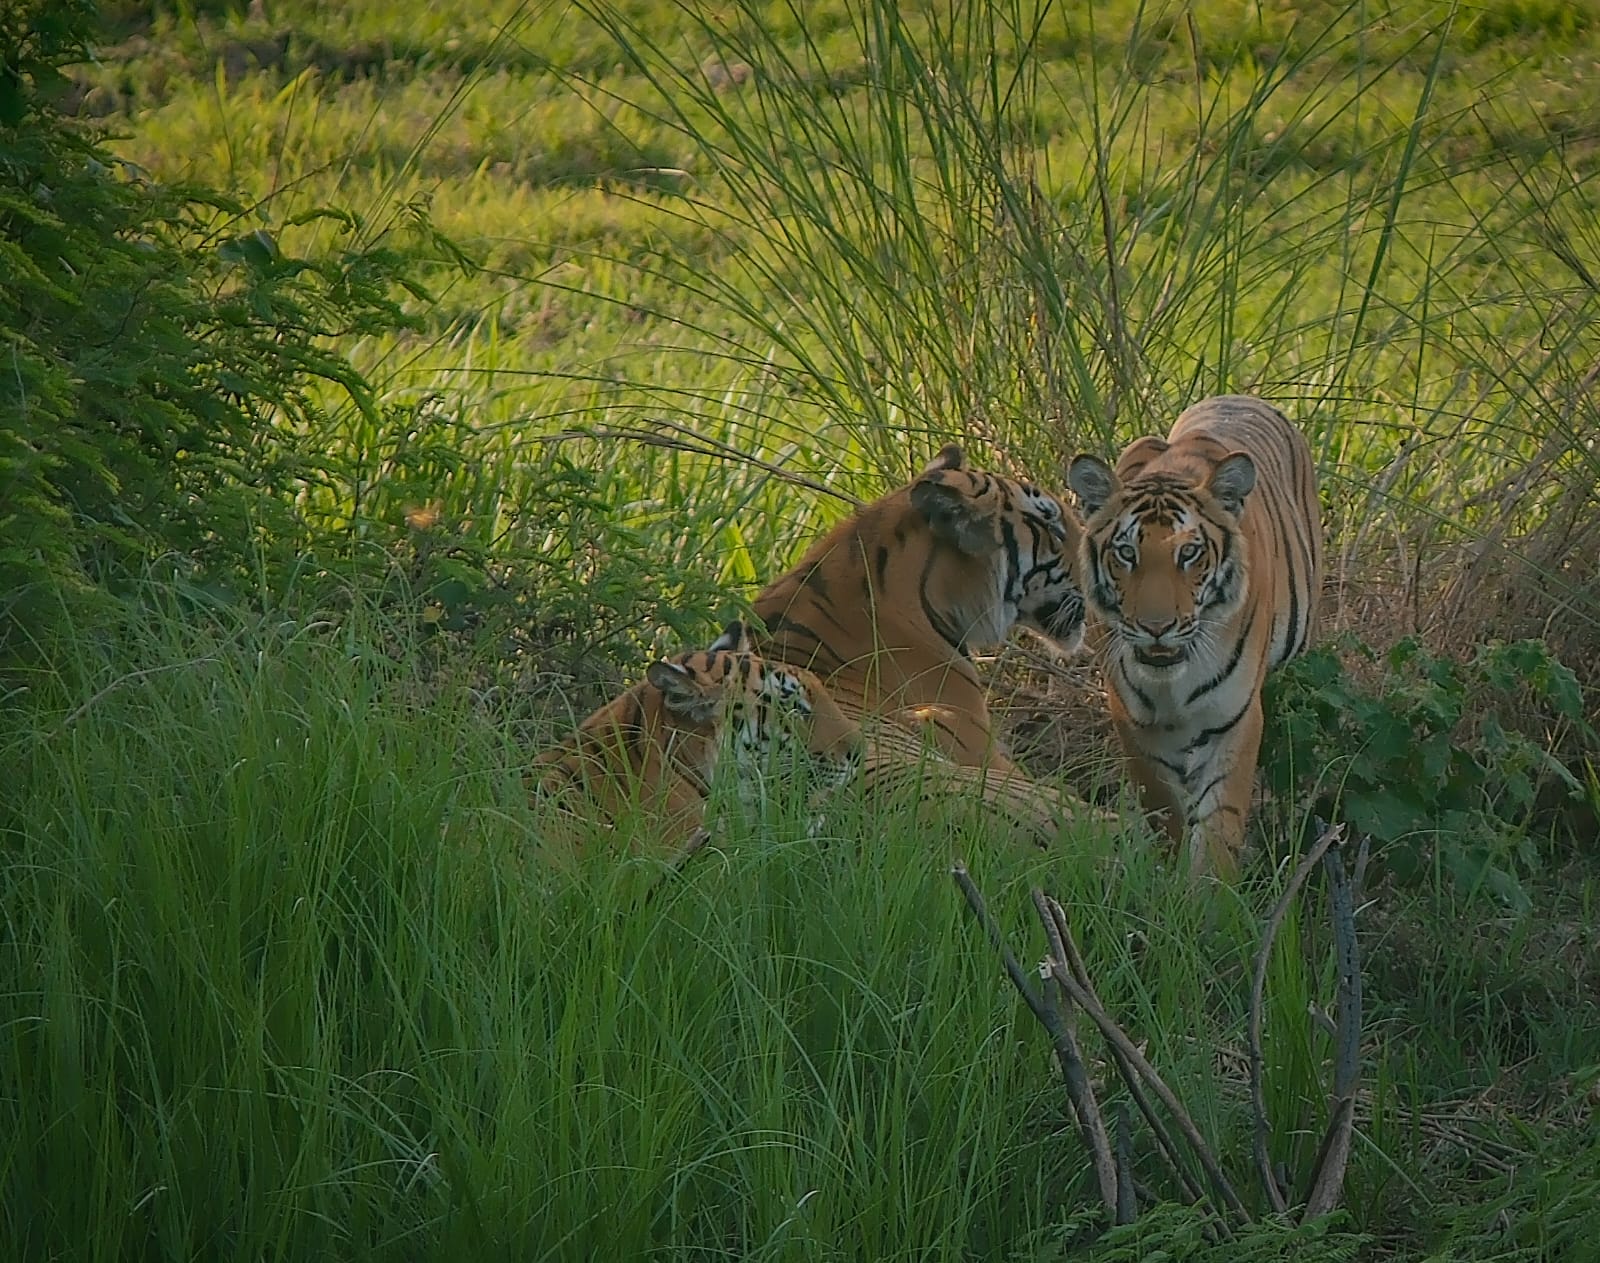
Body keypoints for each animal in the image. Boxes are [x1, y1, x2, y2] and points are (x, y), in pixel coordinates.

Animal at [1066, 394, 1323, 877]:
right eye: (1125, 553)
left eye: (1189, 553)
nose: (1156, 626)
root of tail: (1241, 396)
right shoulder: (1133, 720)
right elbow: (1162, 806)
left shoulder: (1234, 718)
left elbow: (1220, 823)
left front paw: (1208, 892)